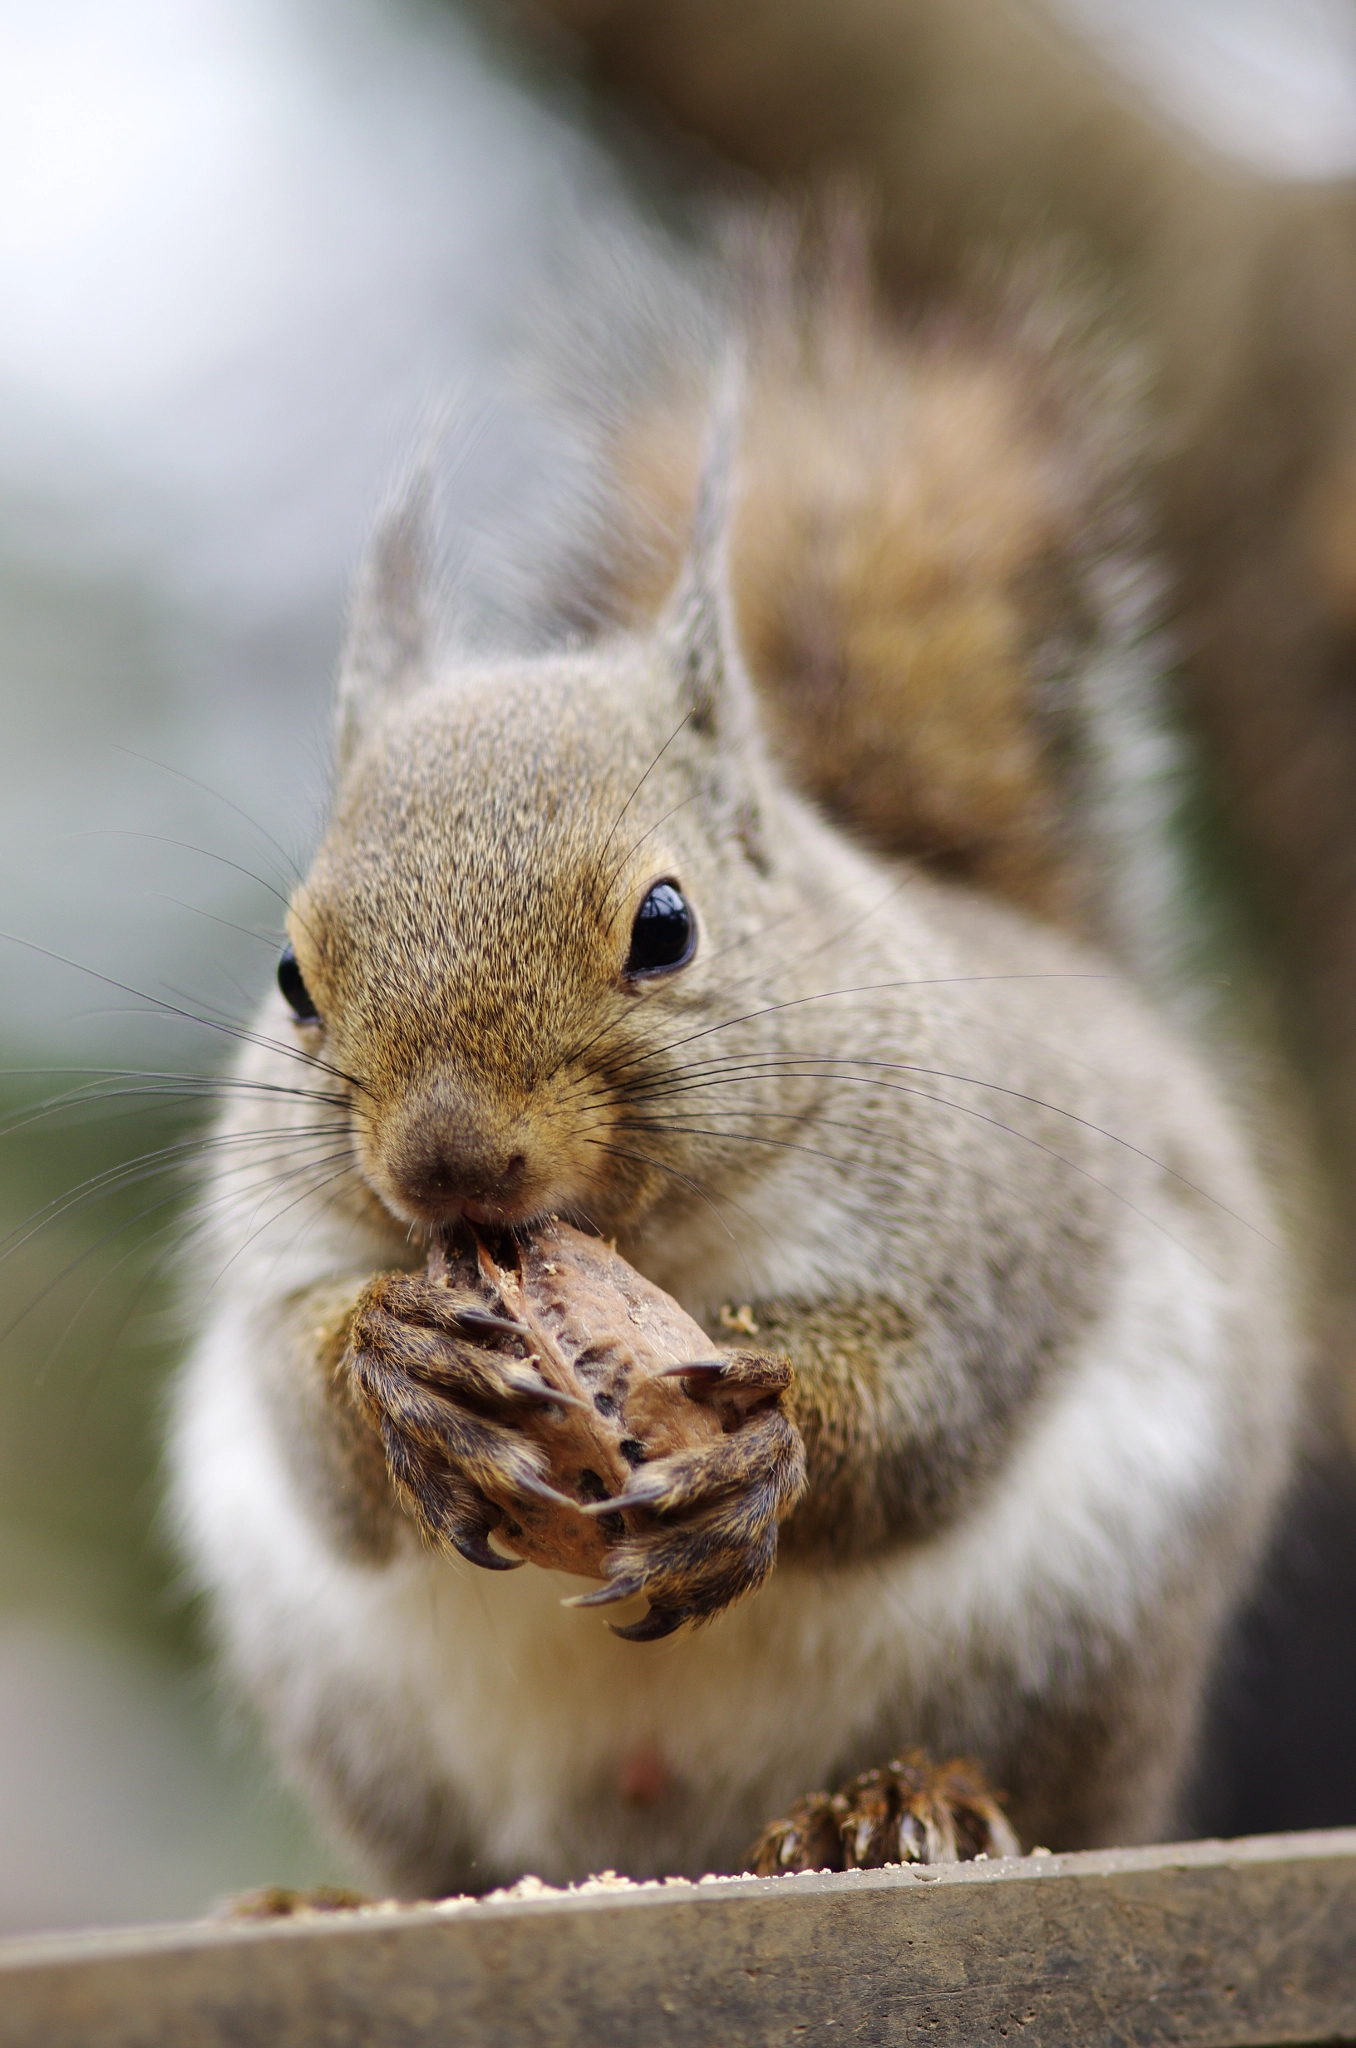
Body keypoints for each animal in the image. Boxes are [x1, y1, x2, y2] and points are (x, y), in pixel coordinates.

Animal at [170, 235, 1310, 1884]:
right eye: (289, 977)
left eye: (666, 925)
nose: (446, 1163)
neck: (644, 1237)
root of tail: (677, 1840)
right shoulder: (274, 1240)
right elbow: (307, 1419)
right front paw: (405, 1362)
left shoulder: (985, 1219)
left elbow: (929, 1406)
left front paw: (758, 1449)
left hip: (1085, 1624)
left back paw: (901, 1803)